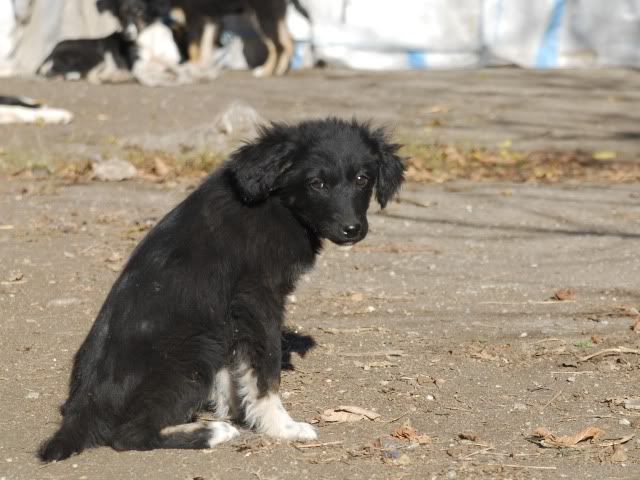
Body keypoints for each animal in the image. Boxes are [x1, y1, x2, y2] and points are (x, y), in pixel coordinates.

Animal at [37, 117, 404, 462]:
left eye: (363, 179)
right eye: (317, 183)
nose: (352, 229)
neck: (277, 202)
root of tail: (86, 404)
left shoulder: (230, 311)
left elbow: (235, 368)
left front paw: (240, 411)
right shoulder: (258, 298)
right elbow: (266, 369)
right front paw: (280, 426)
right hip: (195, 350)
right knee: (129, 436)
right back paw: (212, 432)